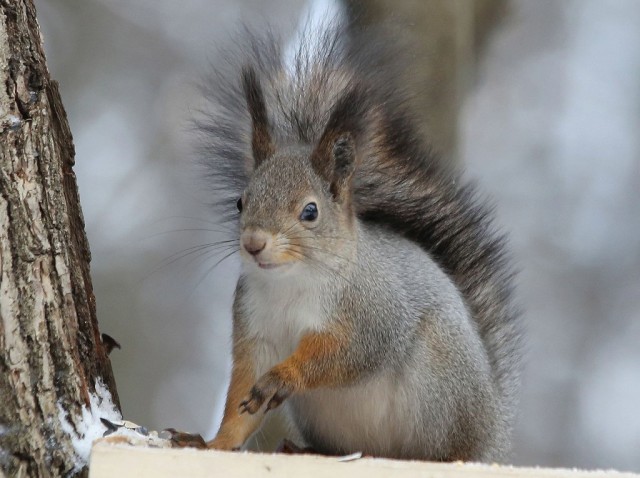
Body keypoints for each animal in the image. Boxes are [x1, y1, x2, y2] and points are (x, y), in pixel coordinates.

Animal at [198, 23, 524, 464]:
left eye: (310, 212)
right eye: (240, 202)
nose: (253, 243)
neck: (291, 282)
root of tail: (491, 434)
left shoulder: (372, 314)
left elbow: (344, 355)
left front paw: (284, 376)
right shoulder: (255, 329)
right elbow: (241, 400)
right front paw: (215, 443)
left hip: (439, 387)